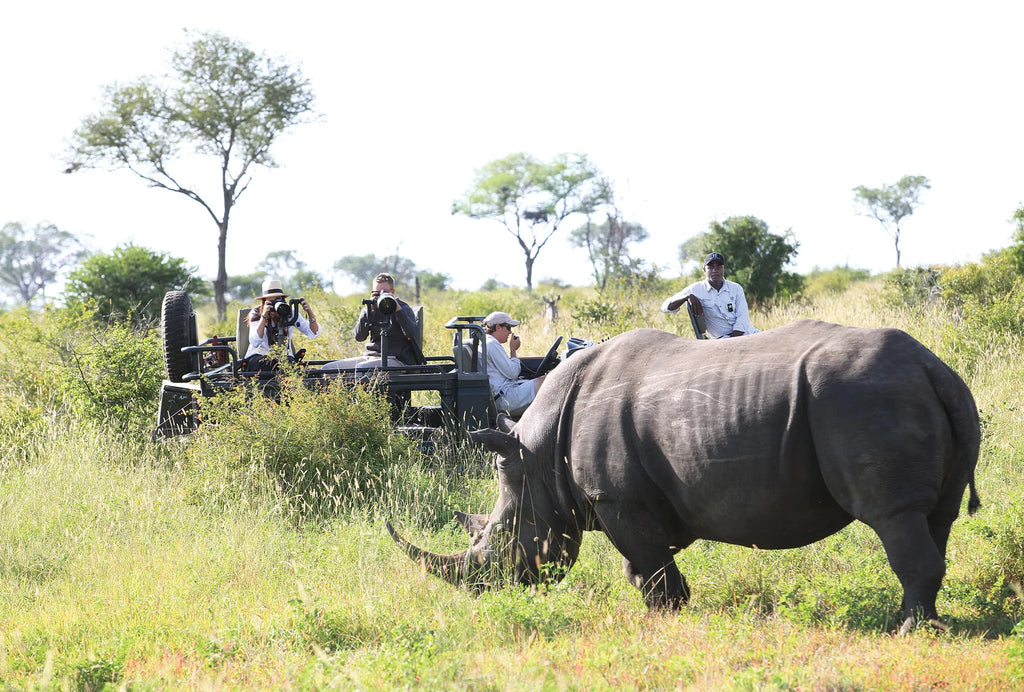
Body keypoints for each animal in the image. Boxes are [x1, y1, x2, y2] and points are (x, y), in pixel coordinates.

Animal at [388, 321, 981, 632]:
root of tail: (934, 367)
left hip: (864, 400)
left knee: (894, 516)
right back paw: (926, 624)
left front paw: (664, 615)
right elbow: (643, 560)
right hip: (918, 395)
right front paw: (664, 608)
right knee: (937, 517)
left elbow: (647, 559)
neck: (537, 456)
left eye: (503, 538)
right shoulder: (641, 496)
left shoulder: (615, 497)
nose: (486, 594)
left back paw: (907, 632)